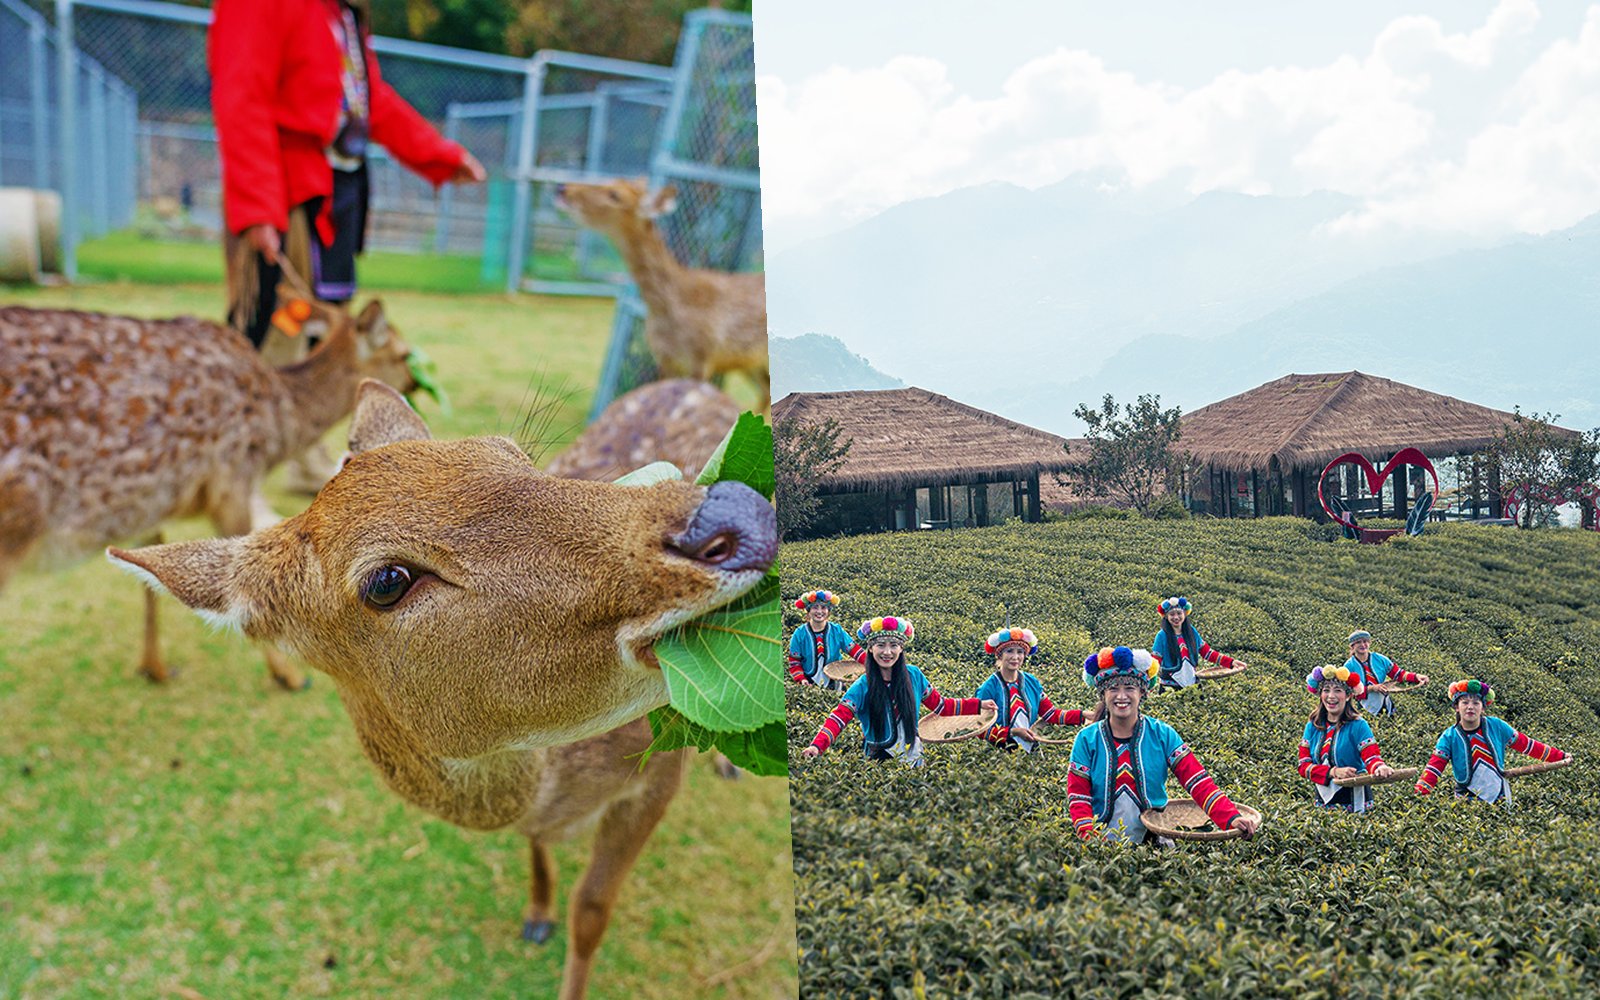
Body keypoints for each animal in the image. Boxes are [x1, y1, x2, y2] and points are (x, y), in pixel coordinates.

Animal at [0, 300, 415, 690]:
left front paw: (154, 667)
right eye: (403, 353)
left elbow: (149, 572)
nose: (413, 384)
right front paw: (288, 676)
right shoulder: (232, 477)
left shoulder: (150, 501)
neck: (279, 425)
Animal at [107, 376, 778, 1000]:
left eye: (515, 453)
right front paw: (536, 915)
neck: (558, 793)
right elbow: (542, 857)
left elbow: (591, 912)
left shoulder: (658, 772)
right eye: (387, 580)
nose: (736, 512)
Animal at [555, 178, 770, 411]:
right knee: (766, 392)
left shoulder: (703, 356)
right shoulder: (664, 357)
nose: (563, 189)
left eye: (615, 194)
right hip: (753, 365)